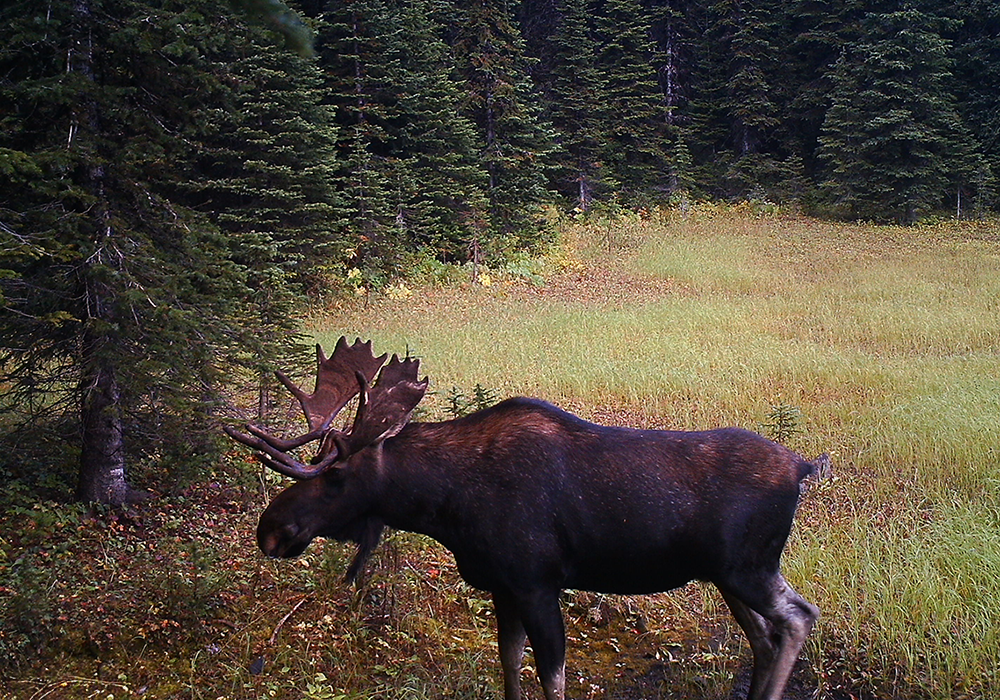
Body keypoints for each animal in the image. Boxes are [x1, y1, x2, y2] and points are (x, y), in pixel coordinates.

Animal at [225, 337, 824, 700]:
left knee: (798, 617)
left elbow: (550, 680)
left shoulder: (538, 583)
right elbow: (510, 668)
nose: (270, 529)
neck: (446, 507)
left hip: (749, 566)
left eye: (336, 475)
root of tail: (802, 467)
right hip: (723, 576)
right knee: (764, 637)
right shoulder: (502, 586)